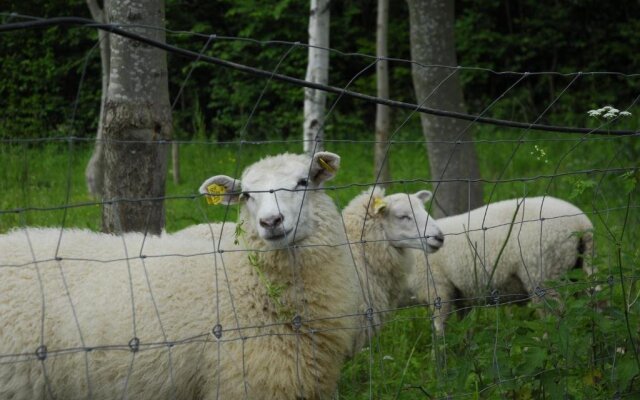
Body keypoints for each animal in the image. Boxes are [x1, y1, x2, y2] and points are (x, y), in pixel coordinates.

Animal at [408, 196, 596, 334]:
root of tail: (581, 223)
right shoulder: (461, 296)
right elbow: (465, 326)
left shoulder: (438, 289)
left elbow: (439, 328)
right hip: (578, 271)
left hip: (543, 275)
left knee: (554, 319)